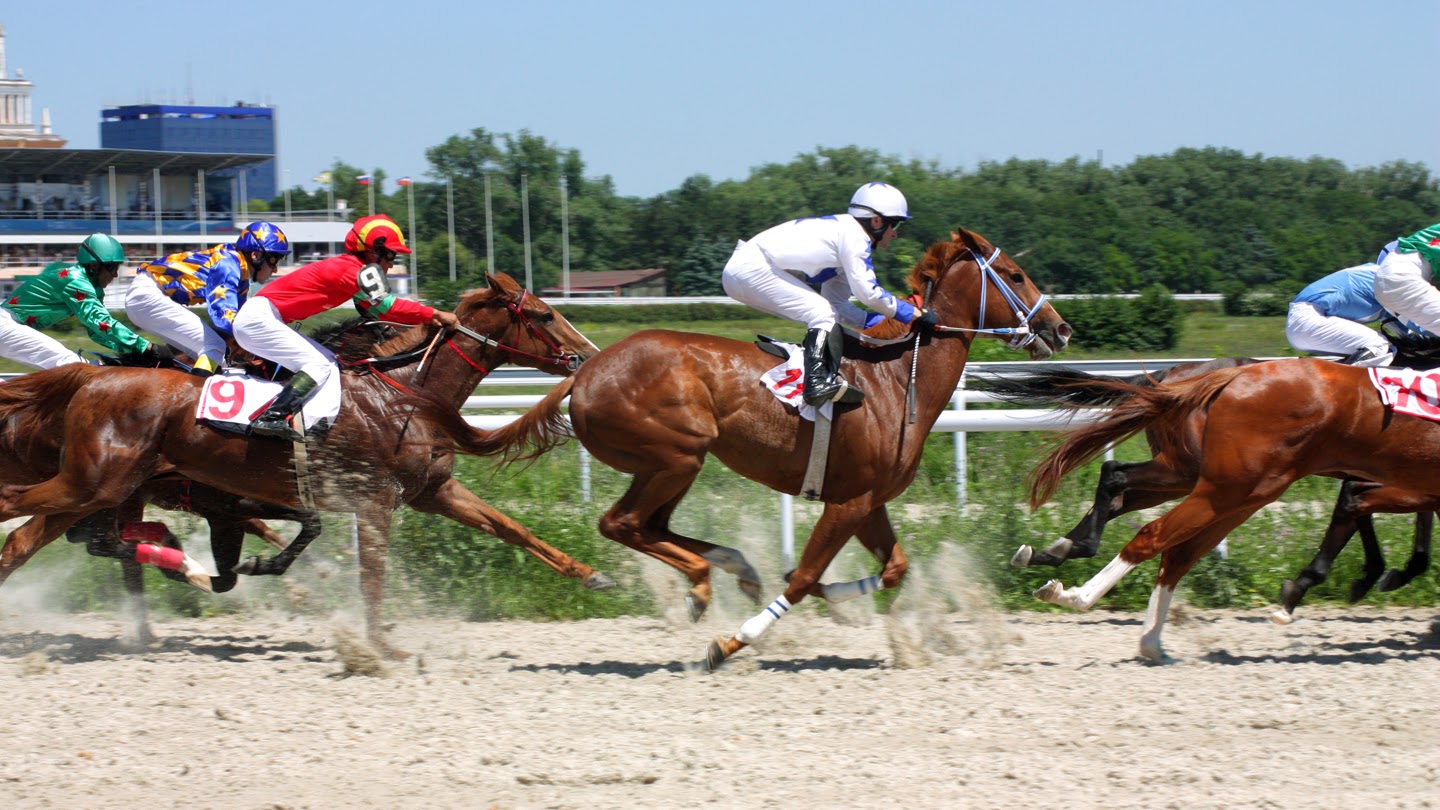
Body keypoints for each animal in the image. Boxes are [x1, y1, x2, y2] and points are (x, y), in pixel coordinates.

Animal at [0, 273, 611, 657]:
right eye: (544, 314)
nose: (589, 356)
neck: (402, 396)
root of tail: (90, 377)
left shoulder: (430, 491)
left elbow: (511, 528)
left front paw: (592, 574)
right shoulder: (371, 501)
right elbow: (370, 576)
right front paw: (380, 645)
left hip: (97, 488)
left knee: (26, 542)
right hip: (95, 484)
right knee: (24, 520)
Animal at [433, 229, 1071, 669]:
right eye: (1014, 275)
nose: (1060, 329)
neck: (895, 381)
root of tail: (585, 371)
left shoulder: (869, 501)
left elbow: (892, 568)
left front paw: (834, 597)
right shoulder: (847, 502)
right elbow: (805, 577)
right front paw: (733, 640)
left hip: (671, 465)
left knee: (648, 526)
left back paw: (727, 570)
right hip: (678, 455)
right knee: (623, 523)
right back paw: (701, 584)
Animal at [1022, 357, 1440, 662]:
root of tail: (1228, 374)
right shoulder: (1404, 487)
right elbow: (1358, 506)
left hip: (1236, 489)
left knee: (1174, 549)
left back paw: (1148, 641)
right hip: (1221, 485)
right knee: (1151, 531)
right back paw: (1074, 593)